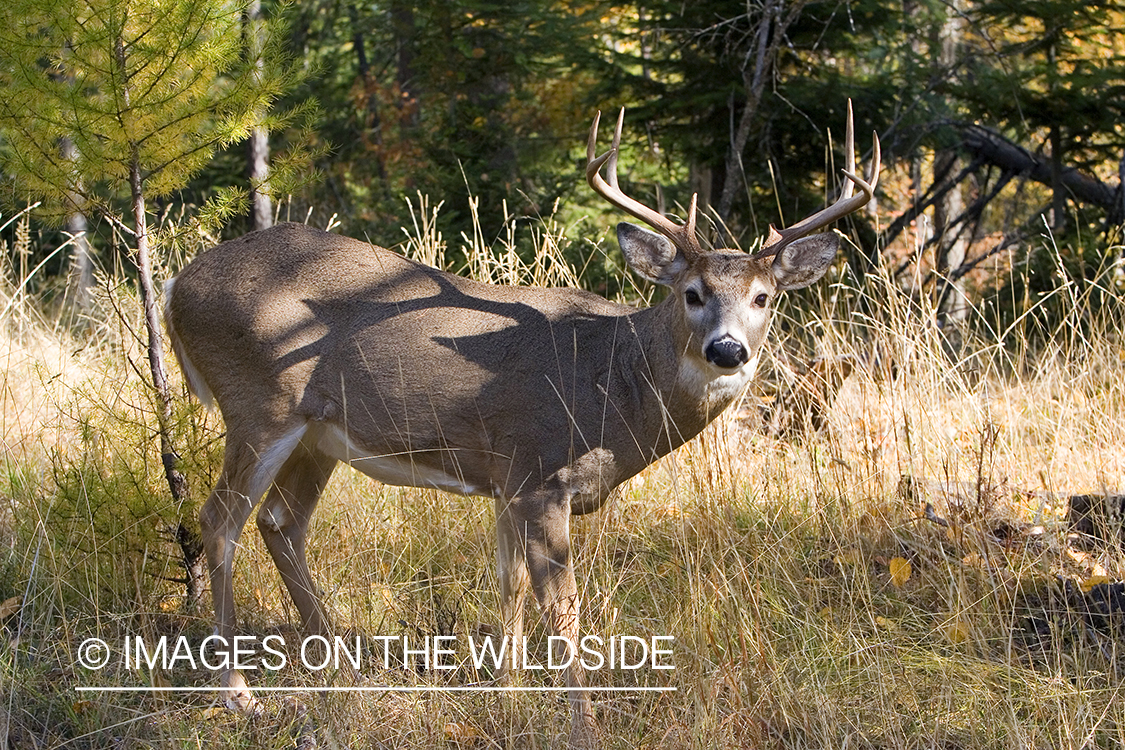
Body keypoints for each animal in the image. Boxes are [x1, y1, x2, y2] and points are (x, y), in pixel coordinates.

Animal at [164, 105, 877, 746]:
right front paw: (583, 724)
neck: (612, 384)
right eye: (692, 293)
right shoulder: (539, 474)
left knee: (280, 521)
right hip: (260, 405)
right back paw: (239, 694)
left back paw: (340, 662)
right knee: (218, 522)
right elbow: (562, 606)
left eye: (763, 297)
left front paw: (504, 692)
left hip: (318, 435)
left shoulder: (506, 479)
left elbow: (506, 583)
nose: (728, 350)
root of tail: (175, 286)